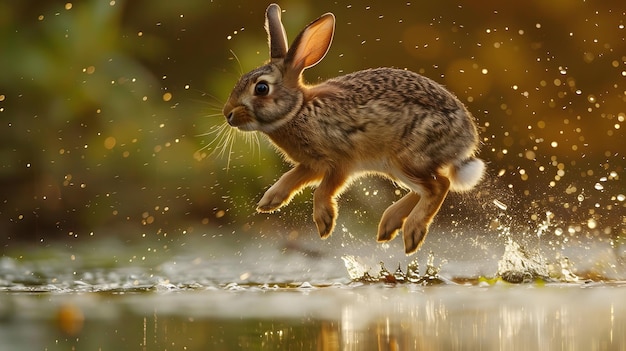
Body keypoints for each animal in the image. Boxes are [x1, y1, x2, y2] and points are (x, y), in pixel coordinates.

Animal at [222, 2, 486, 256]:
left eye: (261, 88)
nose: (228, 114)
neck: (298, 111)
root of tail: (467, 138)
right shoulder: (312, 164)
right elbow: (291, 178)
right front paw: (269, 201)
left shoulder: (341, 162)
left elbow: (322, 190)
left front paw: (325, 221)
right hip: (396, 167)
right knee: (430, 187)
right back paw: (389, 224)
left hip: (408, 158)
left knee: (439, 186)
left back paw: (412, 231)